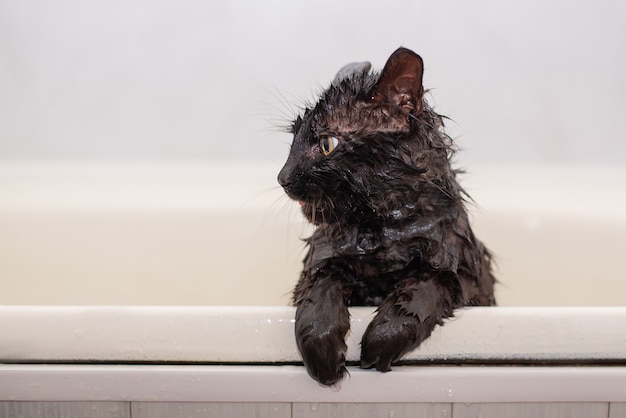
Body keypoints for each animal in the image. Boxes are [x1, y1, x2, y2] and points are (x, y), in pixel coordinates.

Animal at [276, 48, 492, 386]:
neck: (381, 228)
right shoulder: (324, 257)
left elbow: (418, 295)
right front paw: (323, 354)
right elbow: (317, 296)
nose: (282, 177)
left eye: (326, 145)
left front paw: (379, 344)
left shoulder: (455, 267)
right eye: (293, 138)